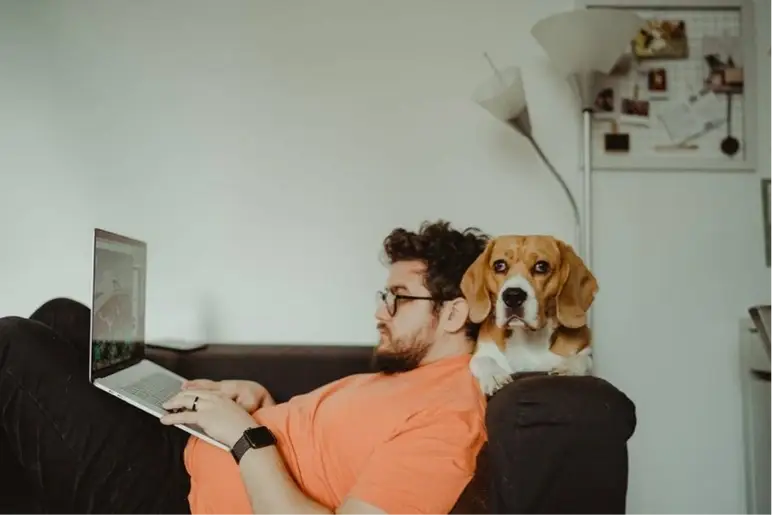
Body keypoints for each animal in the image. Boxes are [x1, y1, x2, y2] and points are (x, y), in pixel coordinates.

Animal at [462, 236, 600, 398]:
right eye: (499, 265)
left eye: (541, 266)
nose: (513, 296)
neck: (529, 338)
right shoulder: (483, 351)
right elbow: (482, 360)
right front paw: (495, 375)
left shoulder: (585, 351)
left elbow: (585, 359)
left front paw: (569, 367)